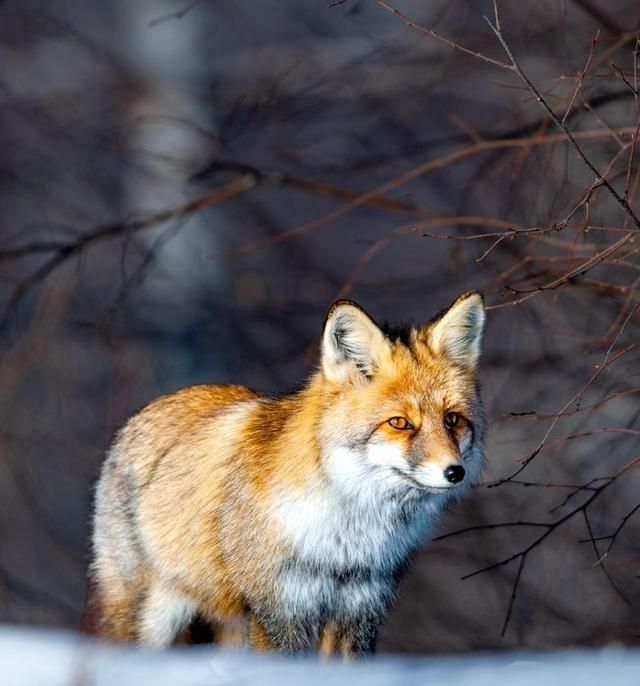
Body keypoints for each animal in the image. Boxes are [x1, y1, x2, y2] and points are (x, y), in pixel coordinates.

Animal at [90, 290, 488, 656]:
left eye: (452, 420)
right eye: (400, 423)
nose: (454, 472)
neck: (347, 542)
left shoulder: (360, 610)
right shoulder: (280, 611)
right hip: (154, 616)